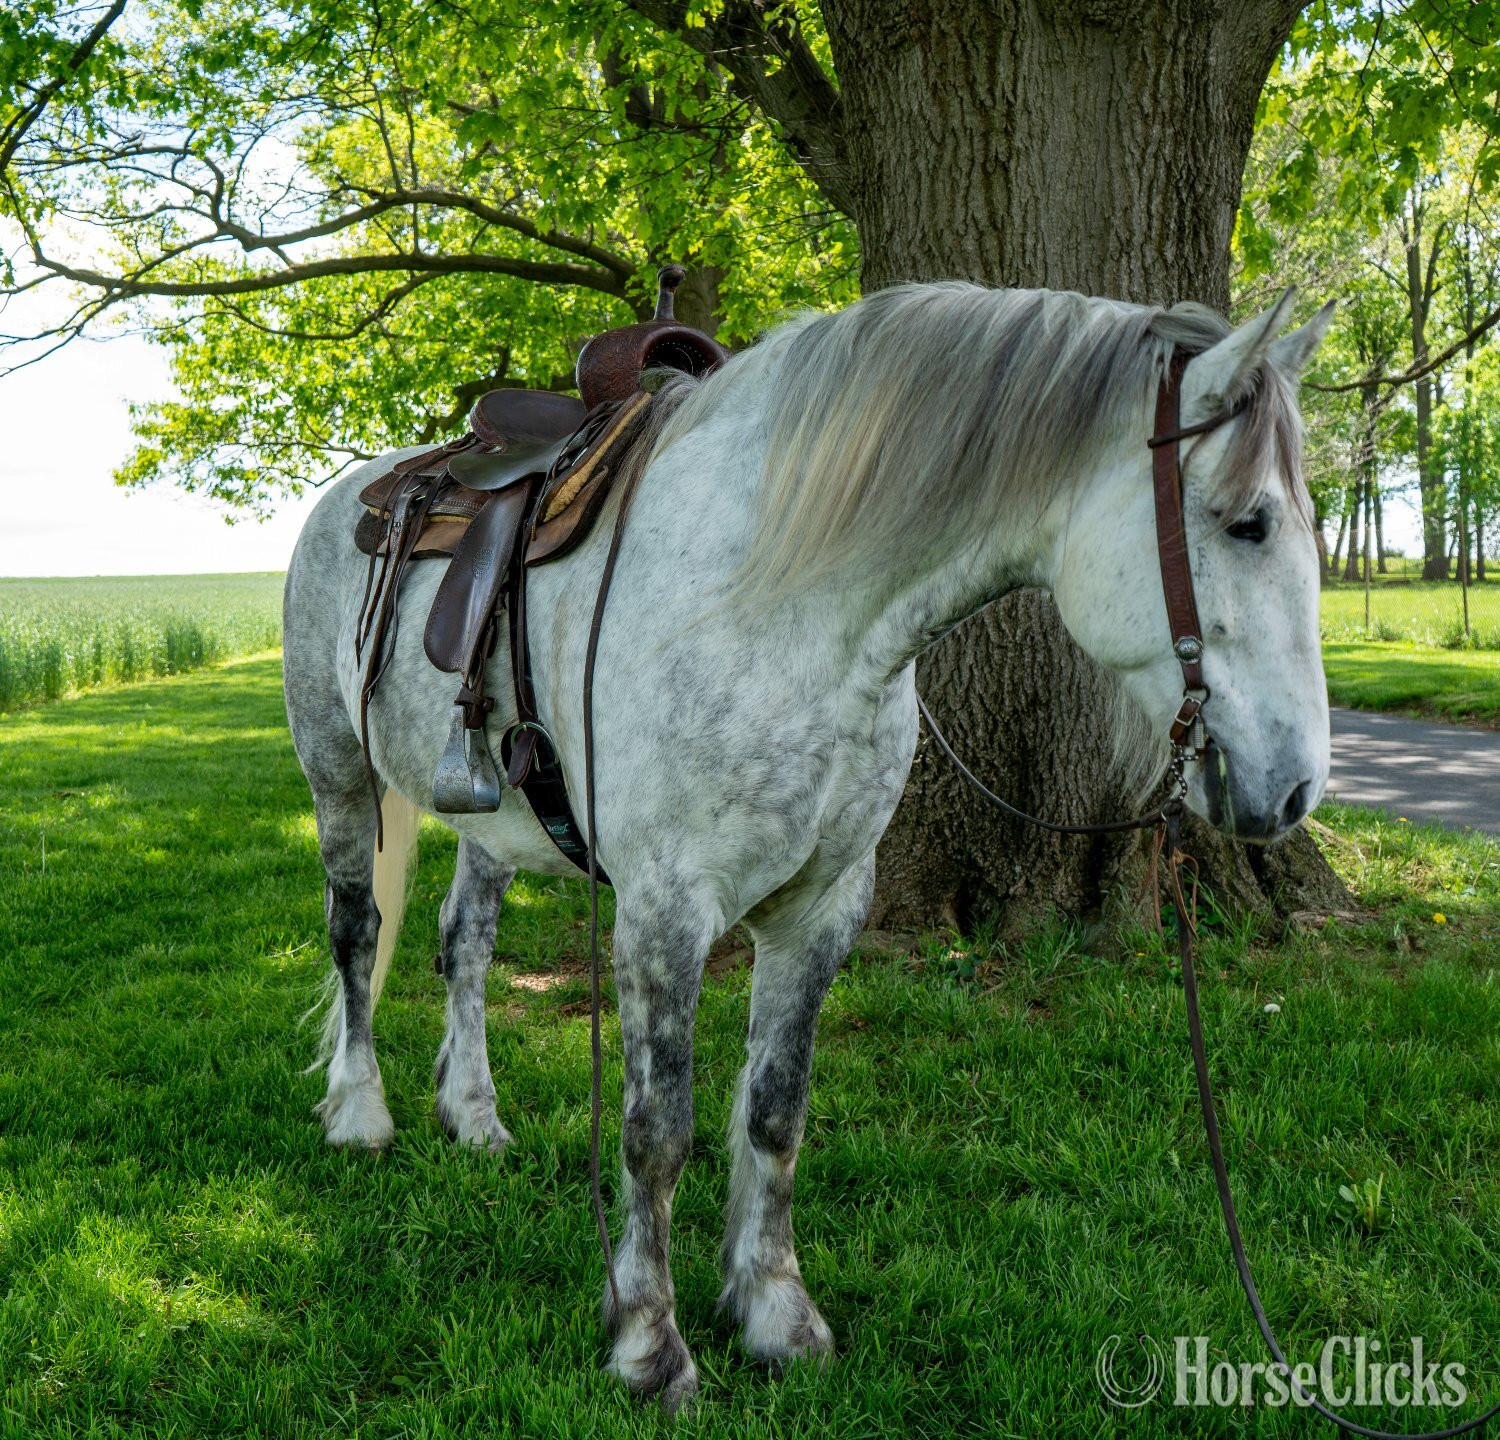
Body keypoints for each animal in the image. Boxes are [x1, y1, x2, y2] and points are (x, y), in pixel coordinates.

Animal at [282, 280, 1333, 1408]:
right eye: (1248, 523)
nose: (1297, 787)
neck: (780, 601)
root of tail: (355, 491)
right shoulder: (663, 911)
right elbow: (658, 1133)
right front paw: (649, 1340)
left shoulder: (823, 909)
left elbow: (775, 1113)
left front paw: (776, 1313)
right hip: (338, 775)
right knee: (357, 930)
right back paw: (360, 1112)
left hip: (492, 820)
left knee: (462, 944)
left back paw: (473, 1115)